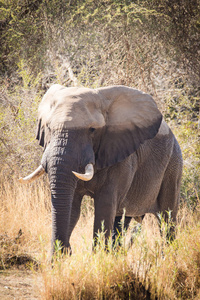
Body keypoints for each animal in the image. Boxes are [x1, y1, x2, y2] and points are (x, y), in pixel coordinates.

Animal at [19, 84, 183, 253]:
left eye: (92, 130)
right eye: (49, 127)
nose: (68, 249)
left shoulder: (121, 154)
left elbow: (104, 208)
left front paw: (98, 256)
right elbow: (73, 207)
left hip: (174, 163)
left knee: (167, 218)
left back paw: (168, 253)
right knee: (122, 221)